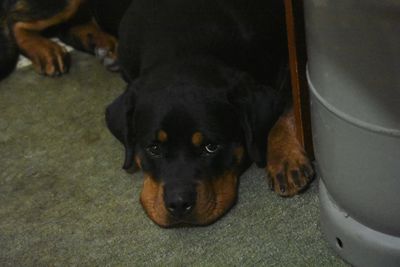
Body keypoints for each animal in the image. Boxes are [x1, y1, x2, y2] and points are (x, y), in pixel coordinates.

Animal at [0, 0, 312, 227]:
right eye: (153, 148)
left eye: (211, 147)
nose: (178, 204)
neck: (187, 43)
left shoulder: (287, 55)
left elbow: (291, 102)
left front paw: (285, 158)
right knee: (16, 20)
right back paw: (46, 50)